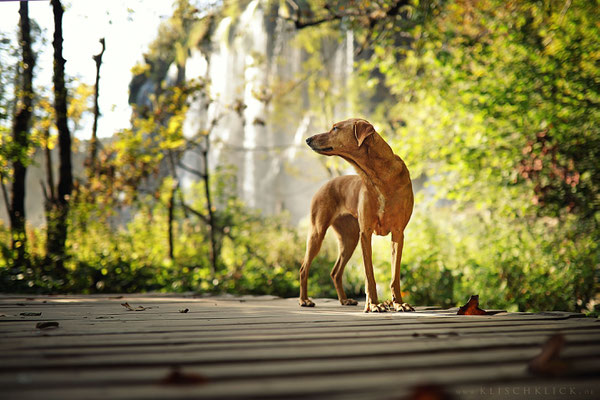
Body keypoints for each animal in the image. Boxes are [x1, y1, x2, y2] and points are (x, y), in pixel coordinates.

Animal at [298, 119, 414, 312]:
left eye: (335, 128)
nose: (307, 139)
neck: (379, 176)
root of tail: (326, 184)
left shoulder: (398, 233)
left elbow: (395, 276)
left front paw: (398, 303)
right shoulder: (365, 233)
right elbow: (369, 275)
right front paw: (373, 304)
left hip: (349, 240)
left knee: (335, 272)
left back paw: (344, 300)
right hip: (317, 232)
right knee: (304, 269)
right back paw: (304, 300)